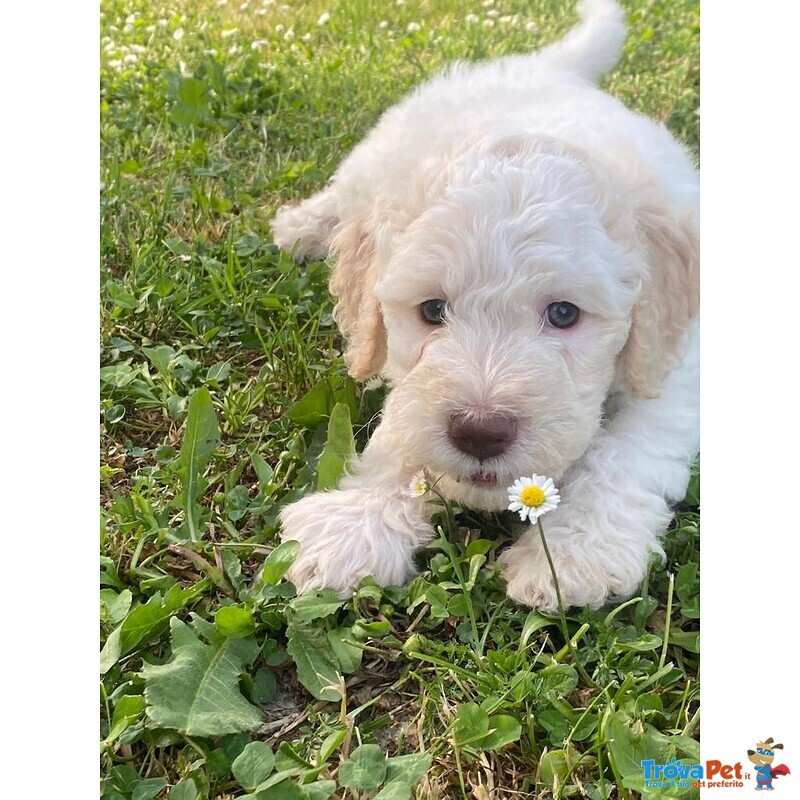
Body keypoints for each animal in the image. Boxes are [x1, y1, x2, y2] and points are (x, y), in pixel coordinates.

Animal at [272, 0, 696, 608]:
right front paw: (356, 524)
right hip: (375, 152)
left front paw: (574, 551)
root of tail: (542, 68)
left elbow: (624, 451)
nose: (479, 431)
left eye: (564, 314)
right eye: (432, 310)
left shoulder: (676, 370)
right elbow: (399, 433)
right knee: (342, 194)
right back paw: (304, 227)